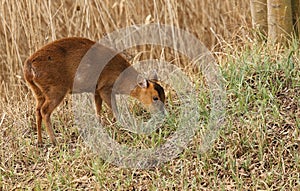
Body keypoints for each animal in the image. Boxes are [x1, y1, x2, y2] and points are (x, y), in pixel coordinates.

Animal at [23, 37, 165, 145]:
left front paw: (100, 127)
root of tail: (28, 67)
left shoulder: (97, 90)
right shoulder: (105, 88)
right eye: (155, 98)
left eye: (164, 96)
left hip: (39, 92)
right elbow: (114, 109)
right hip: (56, 90)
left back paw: (40, 142)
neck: (122, 77)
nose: (163, 115)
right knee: (45, 111)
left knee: (37, 110)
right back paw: (54, 141)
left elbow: (98, 109)